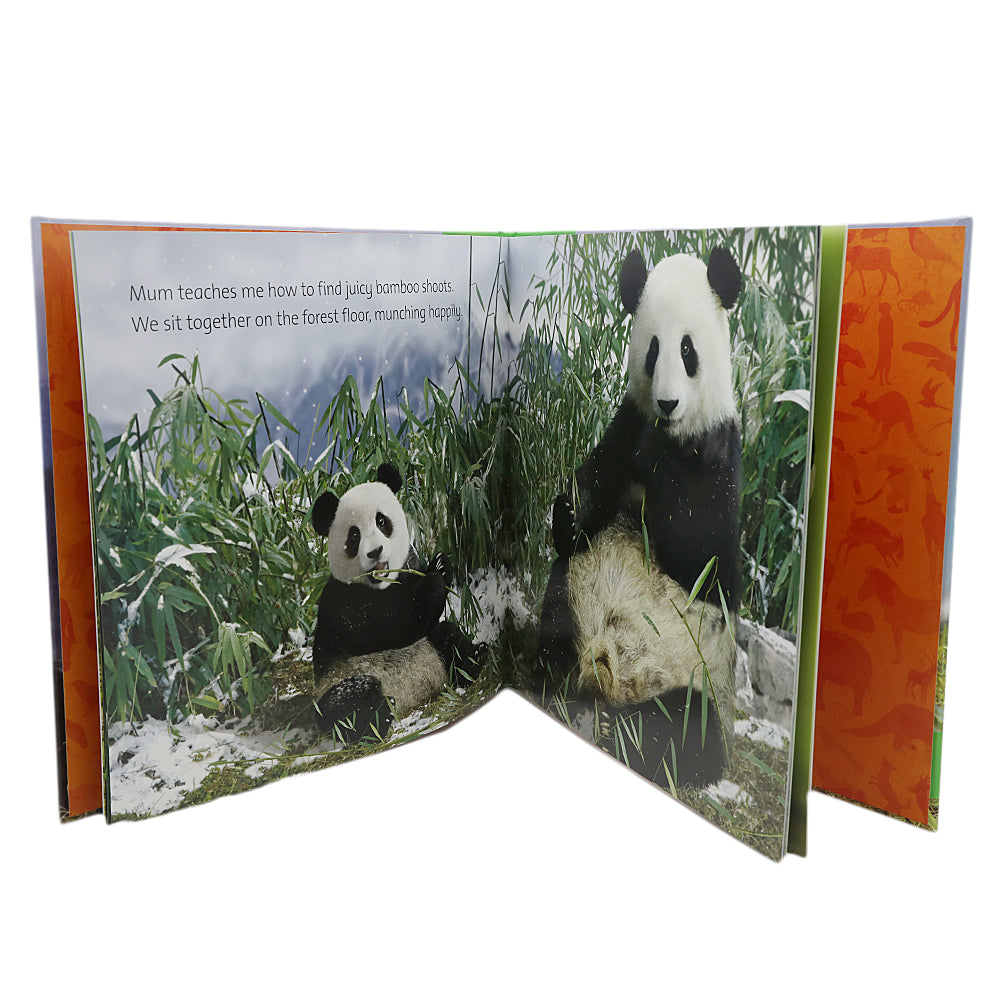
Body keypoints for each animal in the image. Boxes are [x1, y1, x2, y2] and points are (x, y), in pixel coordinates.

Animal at [310, 462, 482, 745]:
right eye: (354, 535)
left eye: (381, 521)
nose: (375, 552)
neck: (384, 584)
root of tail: (412, 700)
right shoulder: (343, 602)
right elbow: (394, 630)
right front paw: (434, 578)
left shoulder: (408, 569)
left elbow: (427, 620)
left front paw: (440, 564)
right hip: (338, 681)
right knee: (351, 700)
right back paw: (378, 719)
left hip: (430, 651)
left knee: (447, 637)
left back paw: (476, 659)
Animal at [536, 246, 743, 788]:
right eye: (653, 349)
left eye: (688, 351)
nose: (667, 403)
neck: (674, 436)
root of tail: (611, 679)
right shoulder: (623, 425)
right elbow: (590, 496)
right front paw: (568, 511)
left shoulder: (722, 459)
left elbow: (704, 561)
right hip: (575, 597)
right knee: (556, 616)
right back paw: (564, 689)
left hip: (695, 677)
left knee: (689, 731)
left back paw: (618, 731)